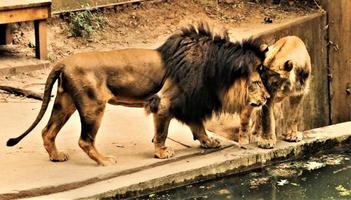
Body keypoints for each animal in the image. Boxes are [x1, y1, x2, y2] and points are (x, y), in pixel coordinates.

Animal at [5, 24, 270, 166]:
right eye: (256, 82)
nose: (267, 98)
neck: (214, 71)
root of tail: (63, 61)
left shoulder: (189, 102)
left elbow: (198, 125)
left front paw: (209, 142)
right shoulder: (165, 102)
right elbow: (162, 132)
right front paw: (161, 153)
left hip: (65, 102)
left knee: (47, 131)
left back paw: (57, 156)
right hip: (93, 105)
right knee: (84, 140)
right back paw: (104, 160)